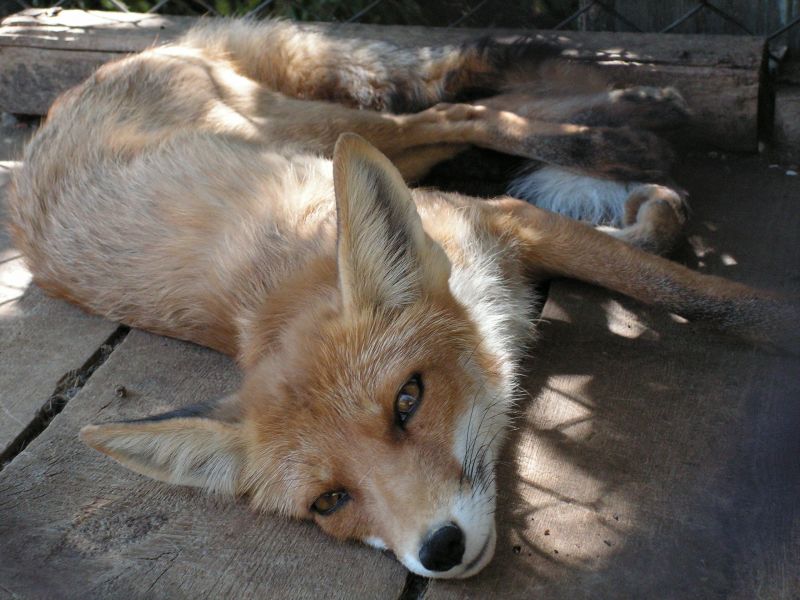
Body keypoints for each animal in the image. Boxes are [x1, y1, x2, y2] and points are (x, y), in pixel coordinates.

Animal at [6, 19, 793, 579]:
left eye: (407, 401)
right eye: (329, 502)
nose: (439, 550)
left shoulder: (508, 220)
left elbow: (695, 292)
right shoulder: (503, 228)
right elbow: (647, 247)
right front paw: (644, 213)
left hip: (319, 127)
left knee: (469, 112)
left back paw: (629, 122)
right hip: (351, 141)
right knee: (466, 108)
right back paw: (622, 124)